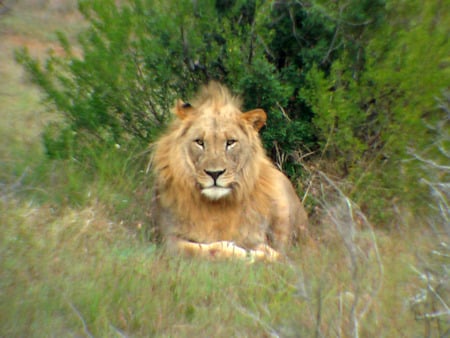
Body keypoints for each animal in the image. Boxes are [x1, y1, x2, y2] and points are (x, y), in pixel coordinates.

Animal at [153, 82, 308, 262]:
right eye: (199, 142)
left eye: (230, 142)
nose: (214, 173)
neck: (215, 206)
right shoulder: (166, 239)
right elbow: (200, 249)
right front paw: (241, 253)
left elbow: (272, 252)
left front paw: (260, 254)